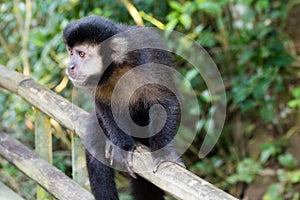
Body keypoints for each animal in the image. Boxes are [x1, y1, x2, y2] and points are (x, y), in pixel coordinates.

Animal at [63, 16, 183, 200]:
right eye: (70, 53)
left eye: (81, 54)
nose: (70, 66)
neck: (116, 67)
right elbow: (104, 108)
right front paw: (121, 147)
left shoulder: (146, 62)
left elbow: (165, 102)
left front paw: (164, 154)